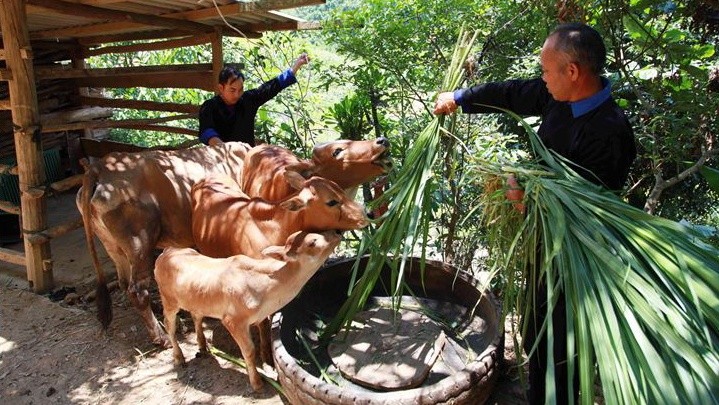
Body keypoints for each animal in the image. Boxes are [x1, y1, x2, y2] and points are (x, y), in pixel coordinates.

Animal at [77, 142, 252, 344]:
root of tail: (99, 168)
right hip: (139, 242)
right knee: (137, 290)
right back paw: (162, 337)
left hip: (112, 245)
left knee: (124, 282)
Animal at [156, 230, 342, 392]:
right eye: (312, 242)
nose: (337, 233)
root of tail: (165, 252)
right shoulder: (233, 320)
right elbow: (249, 350)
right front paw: (257, 383)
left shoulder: (260, 317)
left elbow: (264, 338)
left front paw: (267, 366)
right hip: (168, 299)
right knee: (169, 325)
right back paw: (179, 358)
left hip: (196, 299)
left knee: (196, 315)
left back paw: (203, 348)